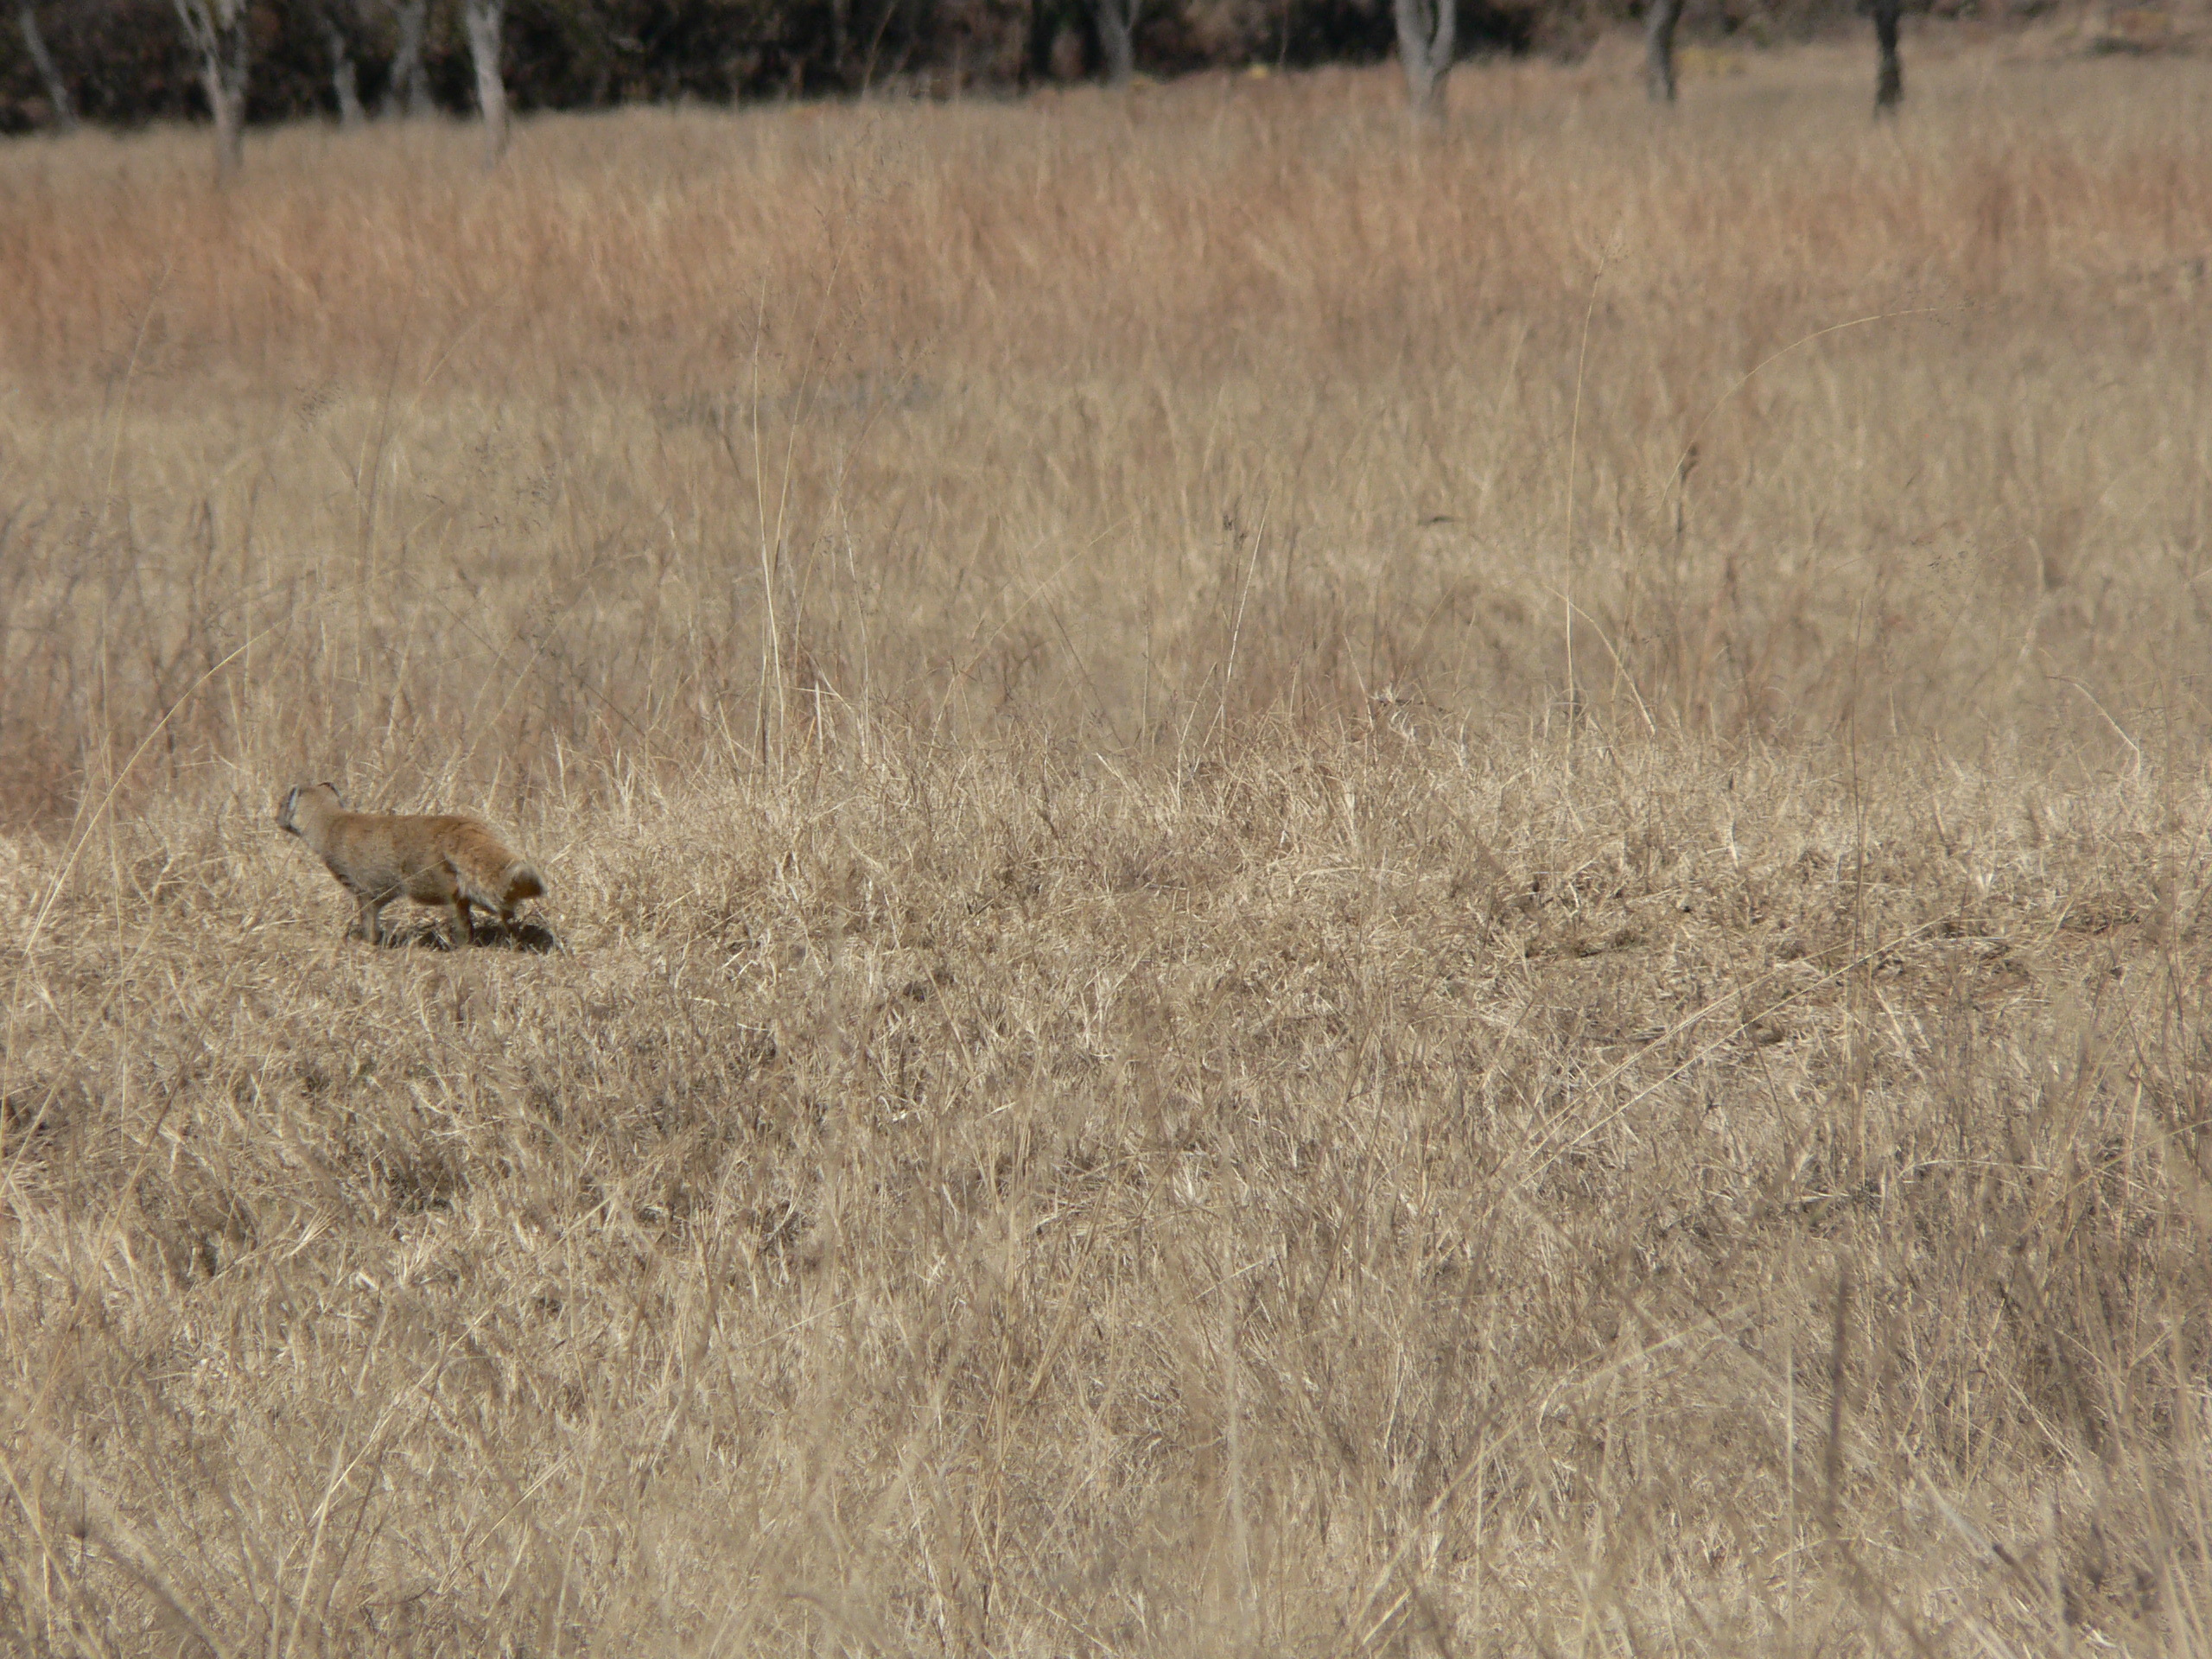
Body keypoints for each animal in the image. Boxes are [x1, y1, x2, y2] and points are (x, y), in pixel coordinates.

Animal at [276, 787, 543, 955]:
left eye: (281, 804)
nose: (275, 817)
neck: (333, 826)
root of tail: (462, 826)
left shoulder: (362, 887)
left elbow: (368, 919)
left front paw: (367, 943)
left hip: (432, 884)